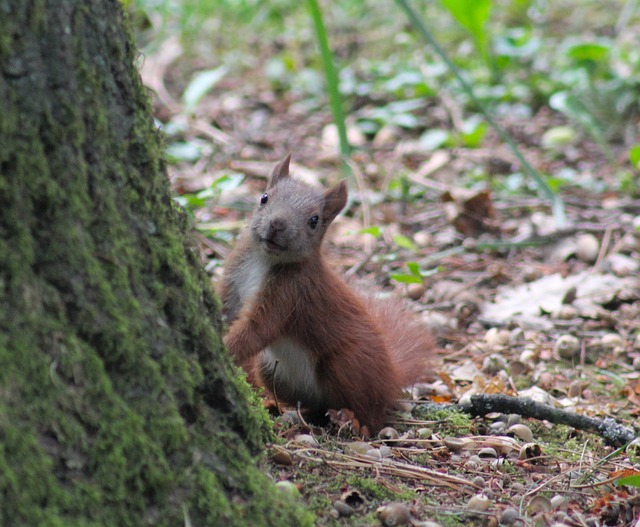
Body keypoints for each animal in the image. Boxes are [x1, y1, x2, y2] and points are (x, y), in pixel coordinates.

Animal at [221, 155, 436, 436]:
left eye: (314, 220)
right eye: (264, 198)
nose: (277, 224)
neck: (264, 259)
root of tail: (392, 377)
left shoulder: (290, 293)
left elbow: (257, 330)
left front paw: (224, 348)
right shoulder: (234, 277)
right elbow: (227, 312)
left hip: (347, 365)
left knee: (372, 412)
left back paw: (356, 422)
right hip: (269, 370)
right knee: (314, 405)